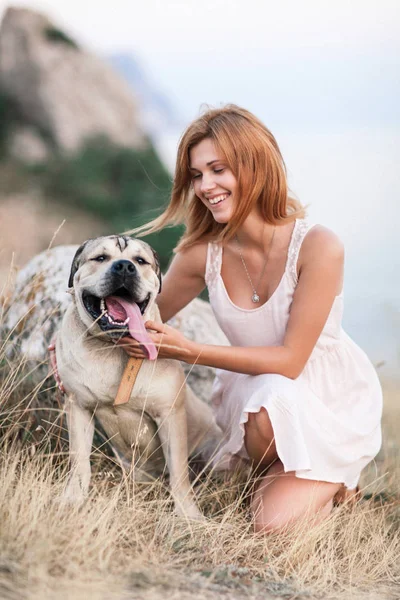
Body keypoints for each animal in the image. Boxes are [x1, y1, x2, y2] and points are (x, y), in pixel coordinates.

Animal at [56, 236, 223, 520]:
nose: (124, 266)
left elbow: (179, 472)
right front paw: (73, 499)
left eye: (140, 261)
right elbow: (79, 460)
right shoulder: (78, 406)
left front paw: (188, 515)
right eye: (101, 258)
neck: (113, 348)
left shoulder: (169, 414)